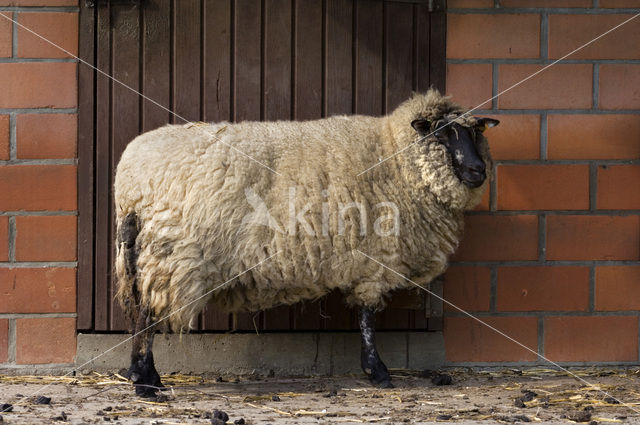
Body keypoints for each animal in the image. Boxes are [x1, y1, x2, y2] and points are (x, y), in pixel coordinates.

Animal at [112, 88, 498, 396]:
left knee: (137, 309)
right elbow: (368, 318)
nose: (478, 171)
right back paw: (146, 383)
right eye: (443, 135)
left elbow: (364, 317)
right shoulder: (374, 260)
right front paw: (378, 372)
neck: (395, 157)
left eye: (474, 132)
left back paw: (141, 375)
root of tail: (130, 182)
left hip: (138, 254)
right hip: (167, 255)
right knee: (146, 313)